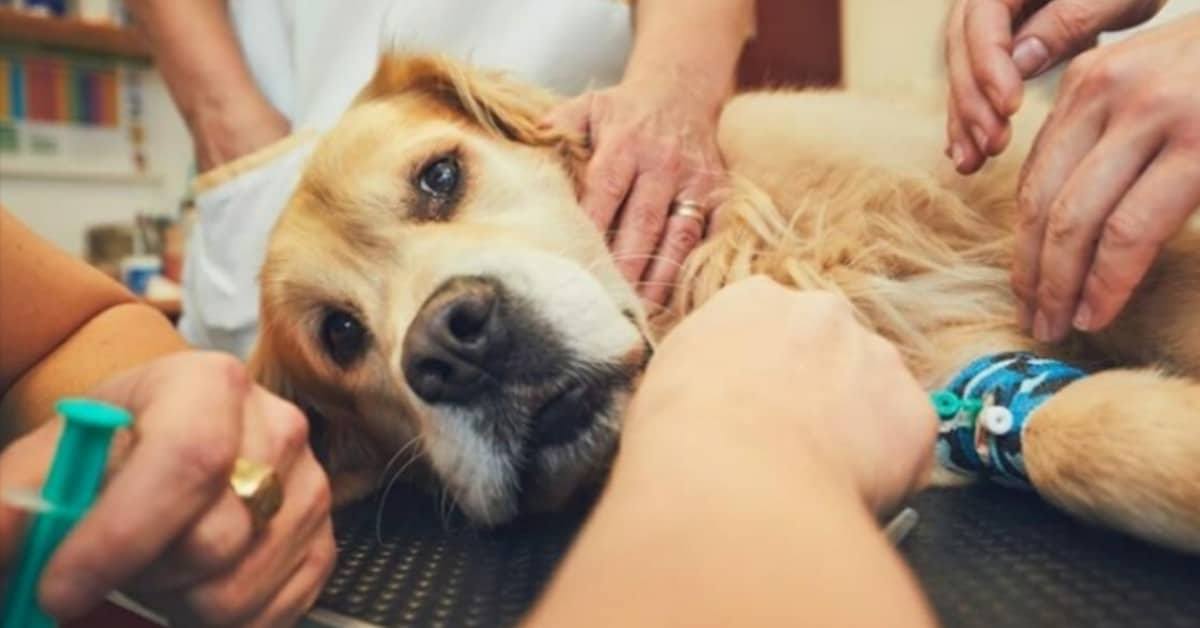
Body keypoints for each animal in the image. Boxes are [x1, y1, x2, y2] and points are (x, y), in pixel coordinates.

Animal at [250, 54, 1200, 554]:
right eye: (340, 335)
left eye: (440, 176)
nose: (453, 346)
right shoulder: (947, 382)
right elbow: (1075, 433)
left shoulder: (1050, 210)